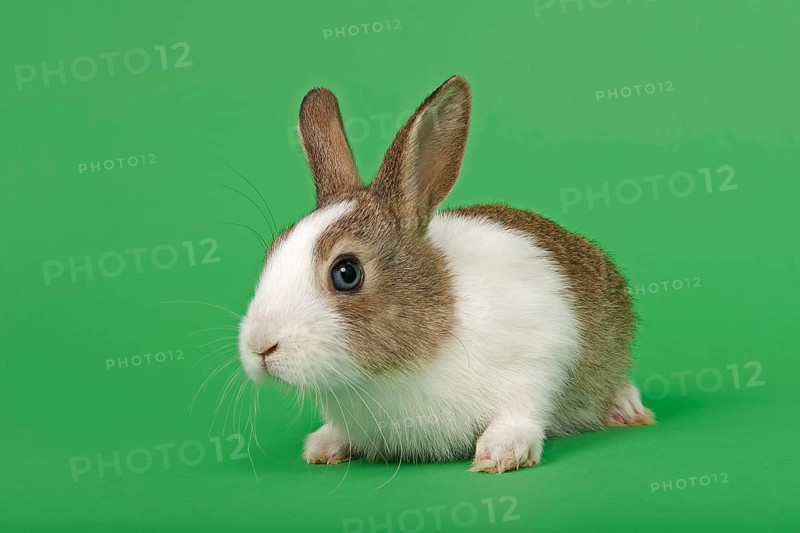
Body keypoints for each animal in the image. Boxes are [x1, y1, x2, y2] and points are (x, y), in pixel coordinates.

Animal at [238, 76, 654, 473]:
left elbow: (524, 407)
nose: (260, 347)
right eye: (272, 252)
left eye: (346, 273)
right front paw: (324, 445)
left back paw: (626, 408)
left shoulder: (540, 352)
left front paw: (502, 452)